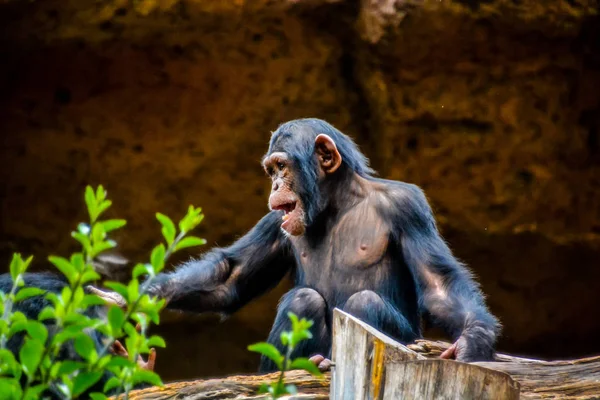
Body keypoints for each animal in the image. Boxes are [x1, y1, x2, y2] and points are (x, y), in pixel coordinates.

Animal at [92, 118, 496, 372]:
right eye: (271, 170)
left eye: (282, 167)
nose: (273, 185)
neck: (336, 204)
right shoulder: (275, 223)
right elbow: (231, 277)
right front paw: (129, 301)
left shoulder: (408, 207)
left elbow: (439, 285)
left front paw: (473, 343)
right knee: (303, 299)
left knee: (365, 301)